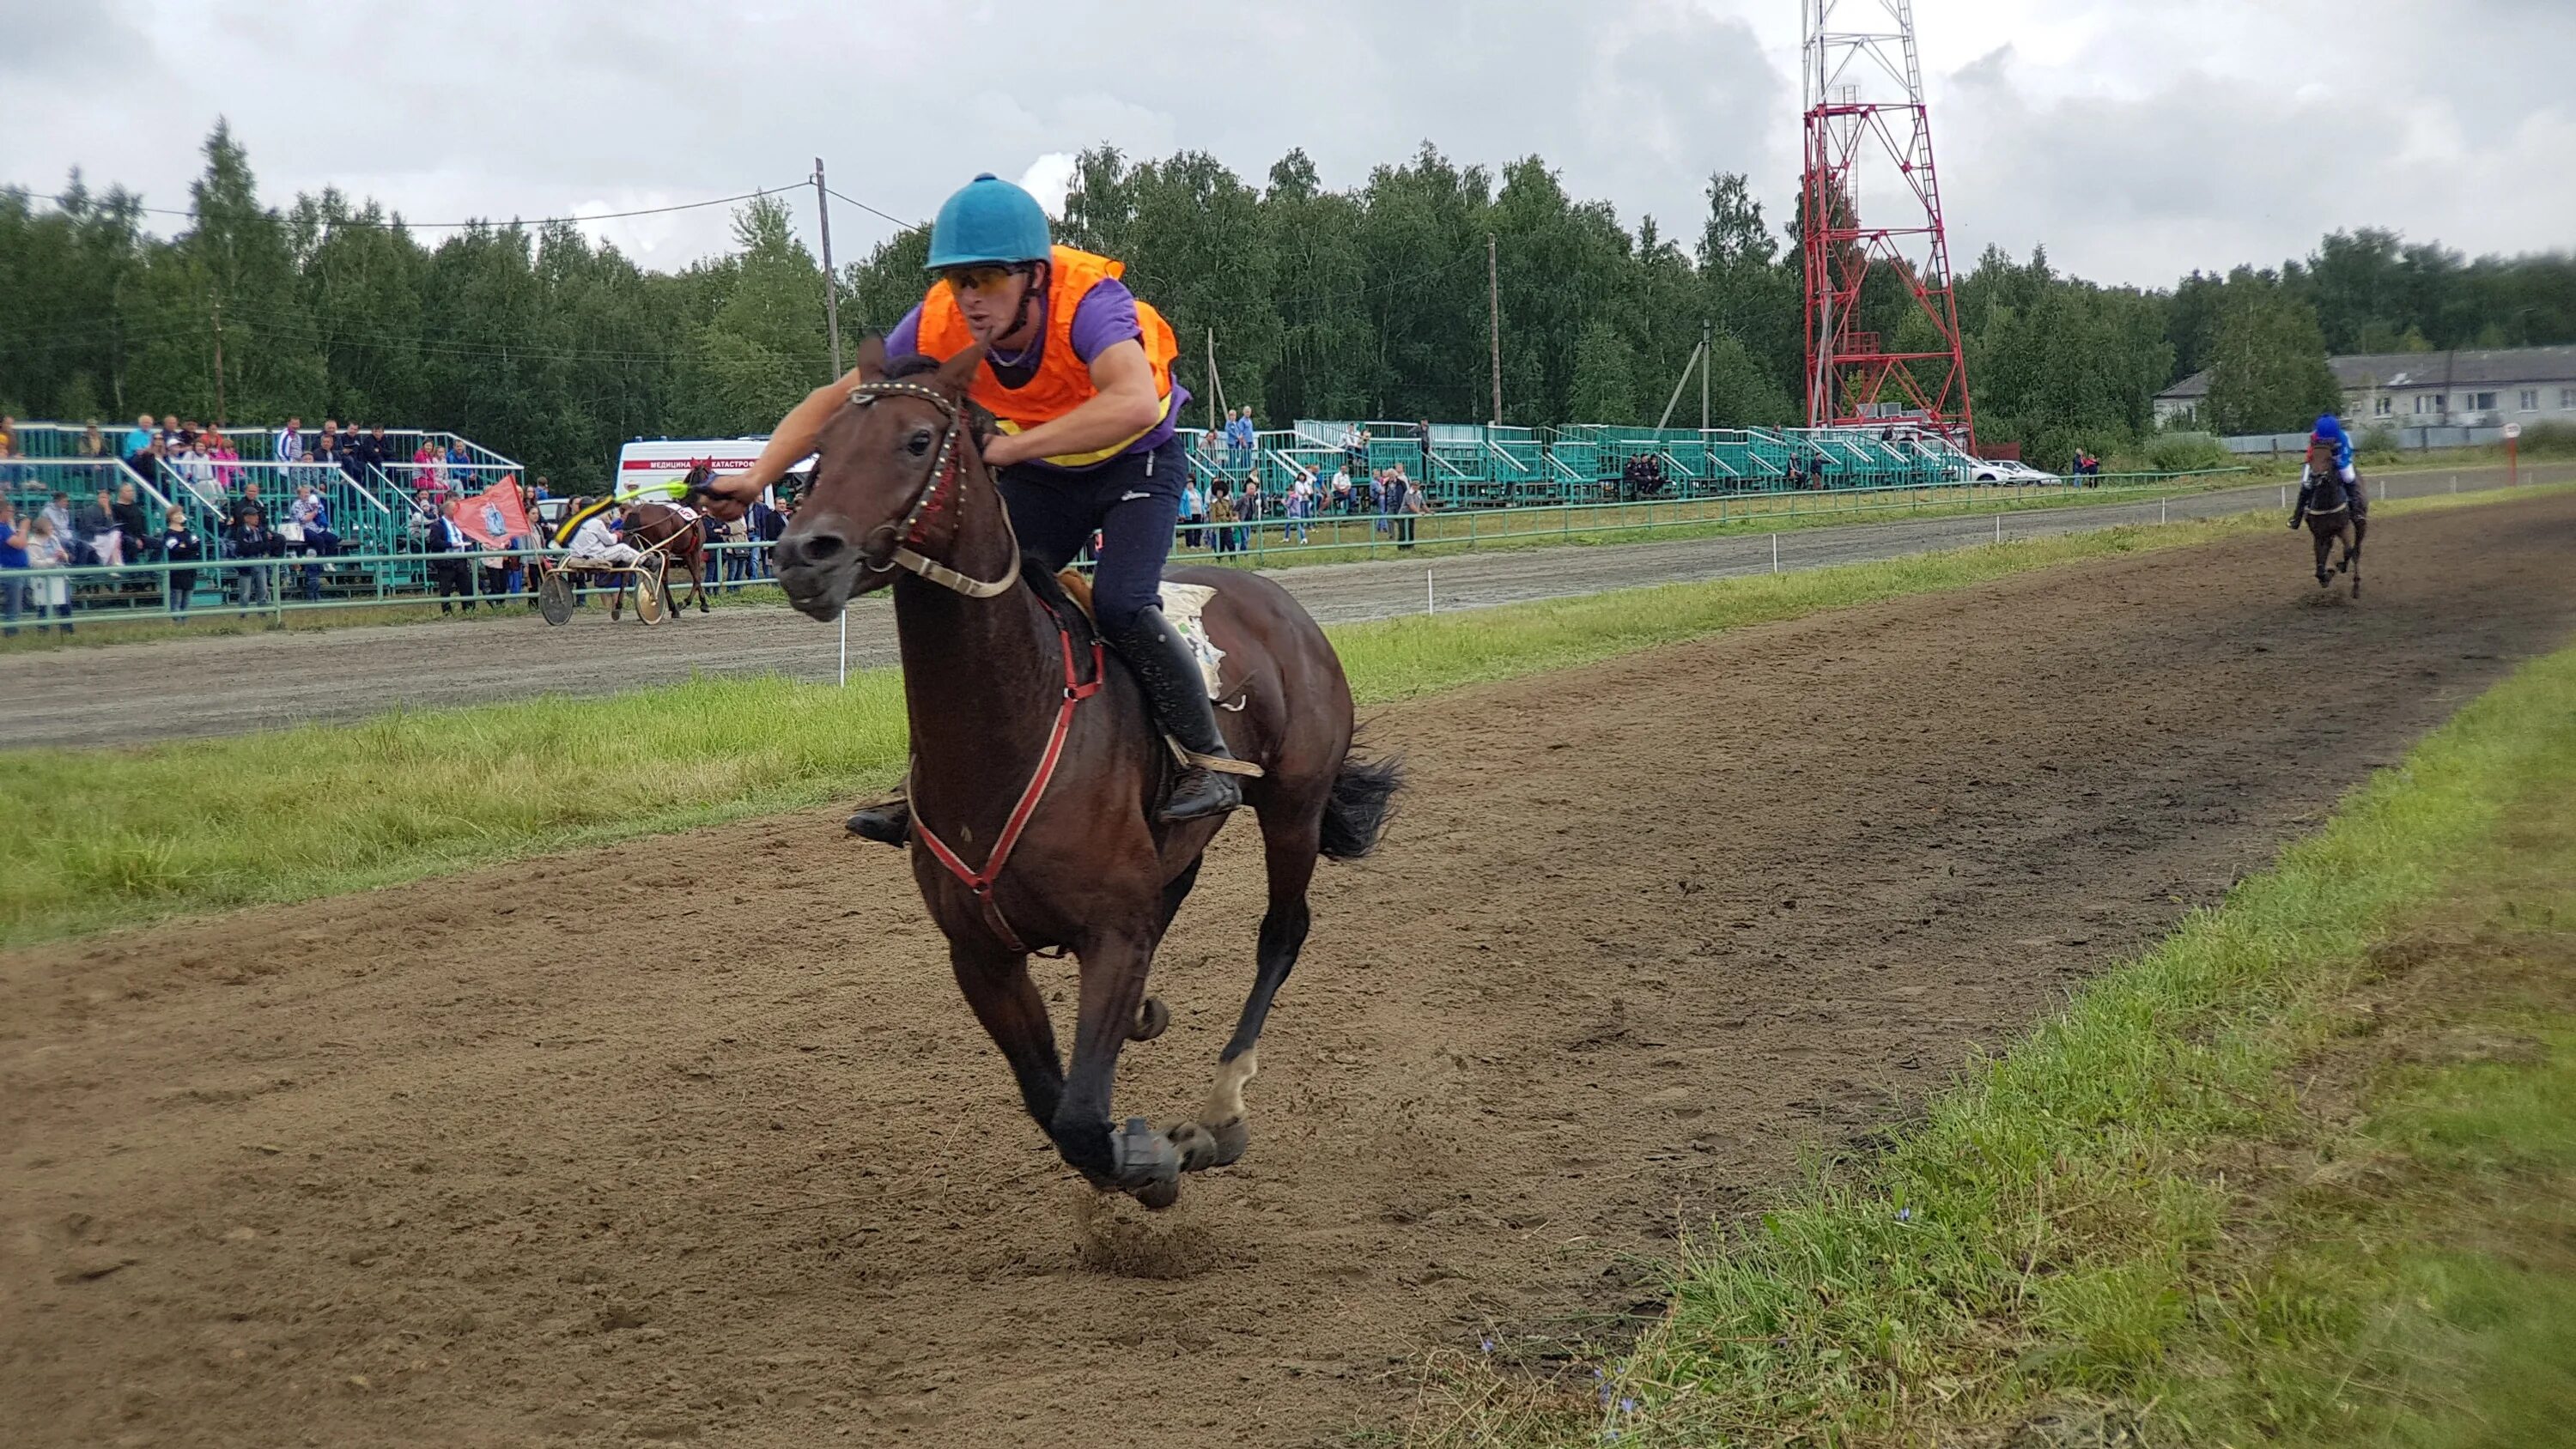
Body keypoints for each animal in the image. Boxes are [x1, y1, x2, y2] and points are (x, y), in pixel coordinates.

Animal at [2308, 442, 2360, 602]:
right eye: (2311, 458)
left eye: (2329, 458)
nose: (2316, 477)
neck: (2326, 503)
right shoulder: (2320, 534)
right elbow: (2320, 563)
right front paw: (2326, 576)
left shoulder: (2343, 527)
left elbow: (2349, 551)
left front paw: (2340, 566)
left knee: (2354, 552)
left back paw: (2356, 586)